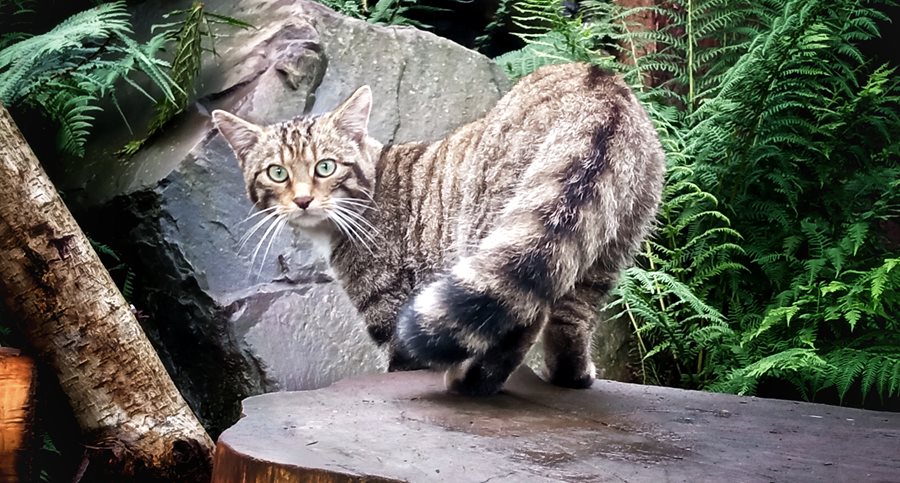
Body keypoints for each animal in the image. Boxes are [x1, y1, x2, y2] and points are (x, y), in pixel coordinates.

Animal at [209, 63, 660, 398]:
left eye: (325, 166)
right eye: (277, 173)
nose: (302, 200)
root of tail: (600, 88)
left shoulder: (390, 314)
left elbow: (401, 363)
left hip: (496, 228)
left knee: (521, 317)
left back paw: (471, 382)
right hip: (604, 248)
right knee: (570, 316)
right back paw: (570, 375)